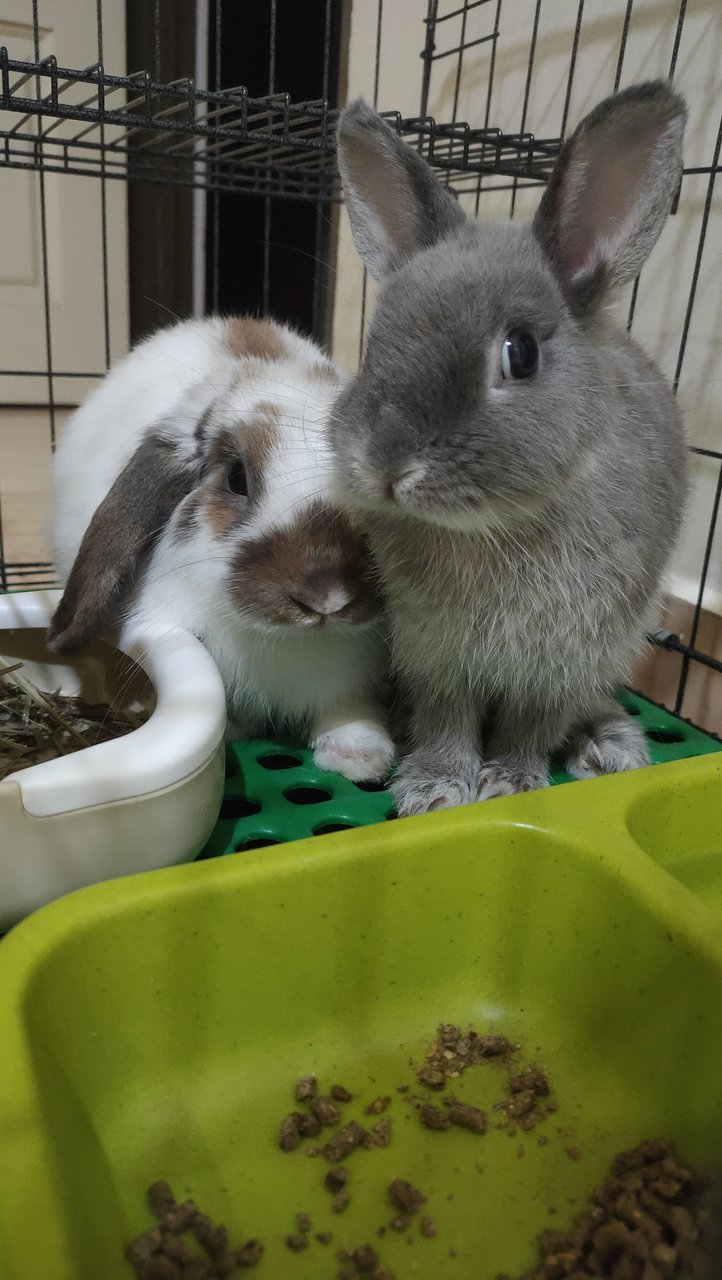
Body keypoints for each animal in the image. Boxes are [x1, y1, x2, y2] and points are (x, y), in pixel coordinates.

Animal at [49, 314, 394, 783]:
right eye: (236, 478)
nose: (327, 598)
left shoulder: (350, 680)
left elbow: (347, 710)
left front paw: (359, 758)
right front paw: (236, 730)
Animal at [332, 82, 686, 819]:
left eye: (519, 353)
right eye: (376, 342)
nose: (385, 469)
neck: (493, 527)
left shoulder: (563, 657)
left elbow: (530, 722)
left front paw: (512, 781)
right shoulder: (435, 649)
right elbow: (447, 716)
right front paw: (437, 788)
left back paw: (608, 743)